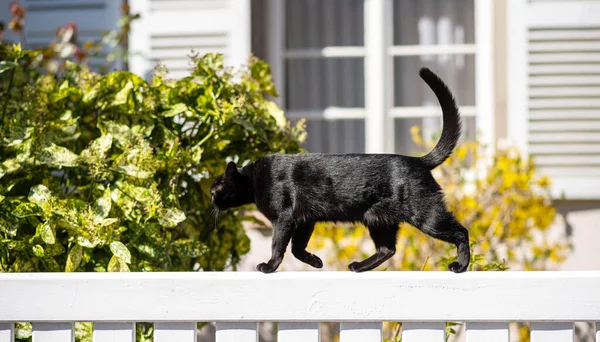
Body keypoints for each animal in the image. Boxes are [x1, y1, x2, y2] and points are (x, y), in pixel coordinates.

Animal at [211, 68, 468, 274]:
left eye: (214, 191)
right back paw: (359, 266)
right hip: (376, 219)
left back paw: (461, 266)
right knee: (387, 249)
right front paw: (315, 261)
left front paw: (269, 266)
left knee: (461, 232)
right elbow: (297, 248)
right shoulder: (305, 219)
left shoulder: (284, 219)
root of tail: (419, 161)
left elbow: (278, 246)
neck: (254, 179)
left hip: (426, 216)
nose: (211, 202)